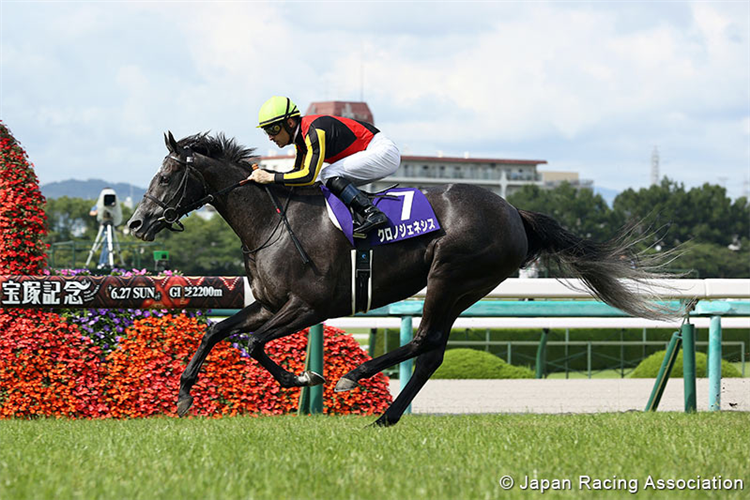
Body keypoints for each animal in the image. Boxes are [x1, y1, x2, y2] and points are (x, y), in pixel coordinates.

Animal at [129, 132, 676, 426]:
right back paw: (386, 414)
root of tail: (513, 211)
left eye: (164, 178)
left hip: (450, 276)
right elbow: (218, 331)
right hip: (463, 288)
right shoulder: (268, 302)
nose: (137, 223)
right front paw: (183, 397)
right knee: (432, 350)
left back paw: (357, 377)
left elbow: (252, 342)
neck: (272, 222)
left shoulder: (310, 305)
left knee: (425, 341)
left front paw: (304, 377)